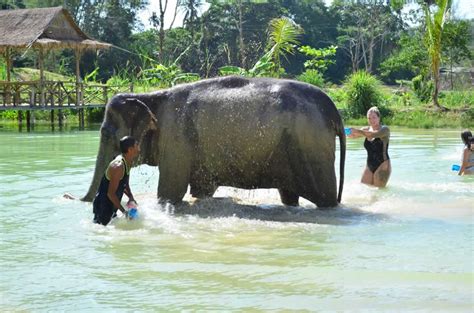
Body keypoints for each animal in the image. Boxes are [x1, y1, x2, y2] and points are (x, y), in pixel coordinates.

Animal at [83, 75, 346, 207]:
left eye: (105, 133)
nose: (79, 200)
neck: (149, 96)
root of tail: (334, 111)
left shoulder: (176, 139)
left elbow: (169, 193)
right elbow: (201, 191)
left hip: (311, 149)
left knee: (325, 199)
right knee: (289, 196)